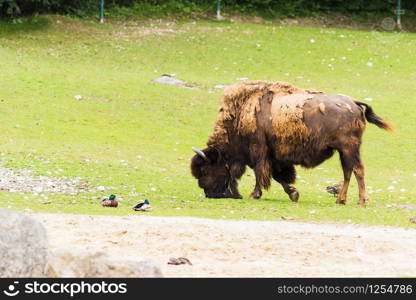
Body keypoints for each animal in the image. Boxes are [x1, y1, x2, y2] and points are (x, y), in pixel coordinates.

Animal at [192, 81, 394, 205]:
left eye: (206, 170)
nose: (210, 194)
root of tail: (353, 102)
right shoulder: (274, 157)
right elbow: (278, 176)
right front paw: (294, 194)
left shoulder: (259, 152)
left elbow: (261, 174)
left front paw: (254, 195)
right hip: (343, 152)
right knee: (348, 172)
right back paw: (340, 200)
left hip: (349, 148)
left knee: (358, 170)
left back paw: (361, 201)